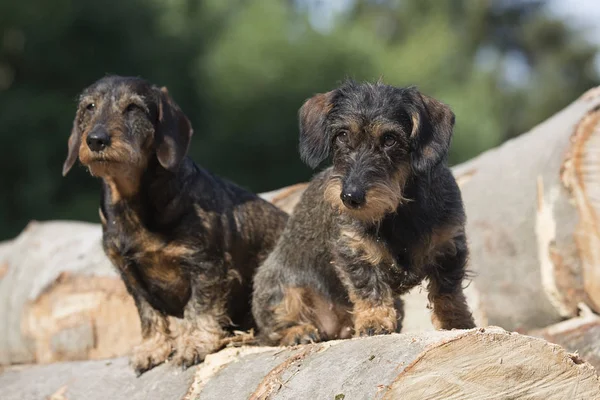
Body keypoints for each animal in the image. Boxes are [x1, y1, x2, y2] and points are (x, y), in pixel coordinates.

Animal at [62, 76, 288, 376]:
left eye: (133, 108)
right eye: (90, 106)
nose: (96, 140)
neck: (132, 204)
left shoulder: (206, 266)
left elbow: (199, 307)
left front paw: (195, 344)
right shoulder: (129, 274)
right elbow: (148, 313)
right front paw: (152, 348)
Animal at [251, 79, 476, 346]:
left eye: (390, 139)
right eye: (342, 135)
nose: (350, 197)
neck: (397, 212)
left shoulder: (449, 246)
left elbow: (448, 291)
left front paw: (456, 321)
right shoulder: (353, 251)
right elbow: (369, 289)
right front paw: (373, 322)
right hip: (279, 289)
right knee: (274, 328)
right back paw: (299, 332)